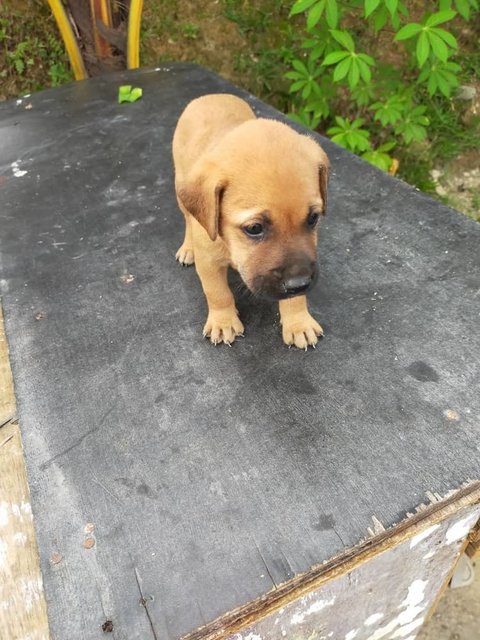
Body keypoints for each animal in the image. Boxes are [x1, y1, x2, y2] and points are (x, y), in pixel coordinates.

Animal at [172, 95, 330, 350]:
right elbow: (217, 293)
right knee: (188, 218)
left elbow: (294, 300)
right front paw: (223, 321)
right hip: (180, 188)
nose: (299, 283)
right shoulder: (209, 263)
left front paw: (298, 322)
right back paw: (188, 248)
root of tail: (210, 96)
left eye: (313, 218)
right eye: (254, 228)